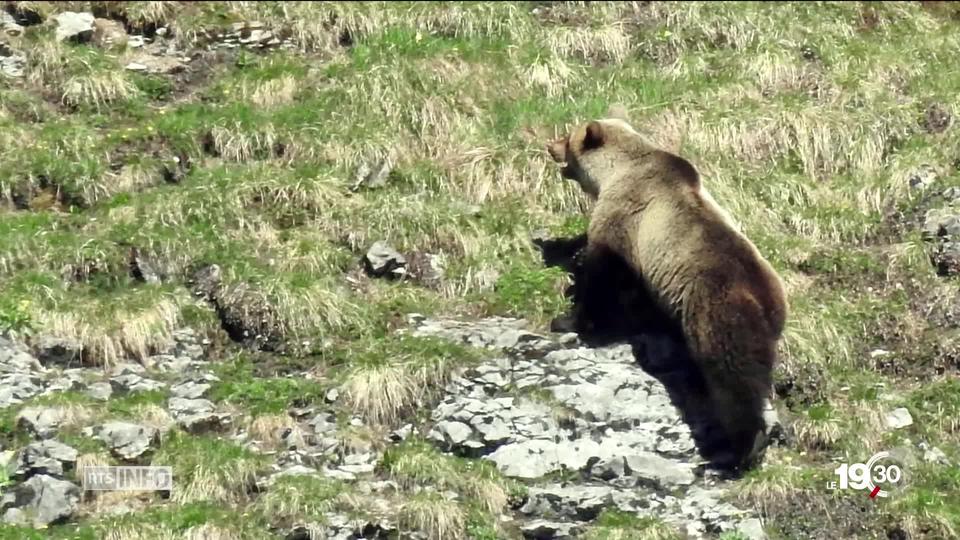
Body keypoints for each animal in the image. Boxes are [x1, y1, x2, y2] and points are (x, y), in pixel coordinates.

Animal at [548, 115, 788, 472]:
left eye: (569, 136)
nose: (549, 145)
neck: (616, 171)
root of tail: (766, 302)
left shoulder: (625, 218)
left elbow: (603, 276)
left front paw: (569, 318)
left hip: (716, 314)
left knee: (733, 381)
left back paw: (739, 449)